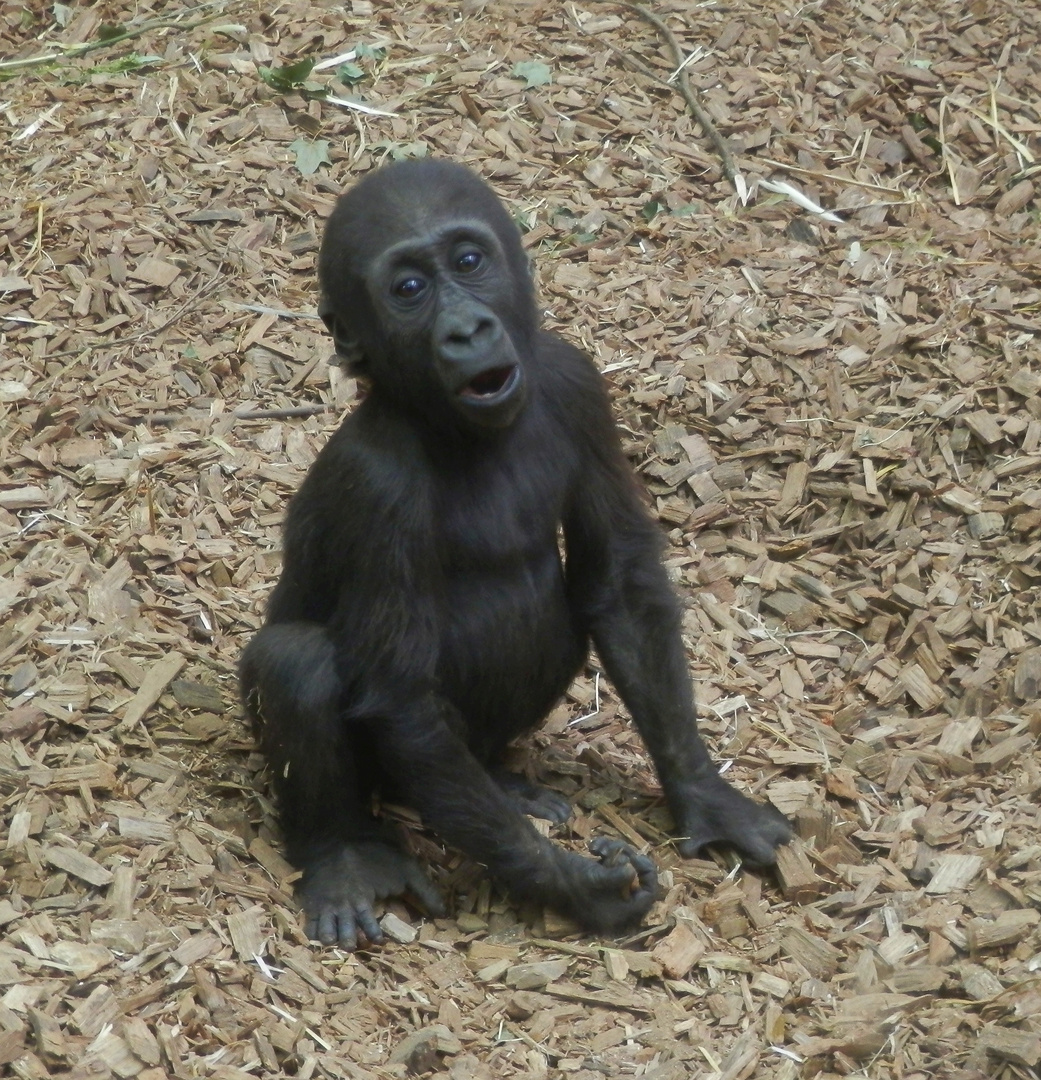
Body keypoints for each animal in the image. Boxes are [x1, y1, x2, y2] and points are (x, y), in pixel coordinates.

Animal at [237, 156, 790, 950]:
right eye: (409, 290)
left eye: (469, 261)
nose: (467, 329)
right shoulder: (376, 482)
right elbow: (400, 697)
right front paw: (577, 888)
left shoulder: (575, 382)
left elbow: (617, 586)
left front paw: (704, 794)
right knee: (297, 664)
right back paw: (342, 853)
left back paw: (499, 777)